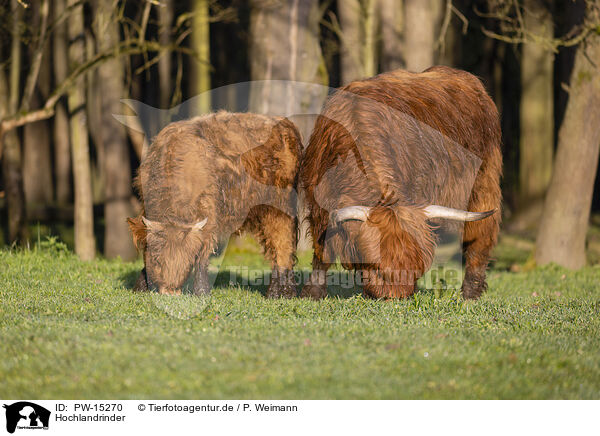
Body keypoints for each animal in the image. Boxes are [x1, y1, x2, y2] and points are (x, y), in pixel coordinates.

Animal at [129, 110, 302, 298]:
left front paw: (201, 292)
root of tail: (283, 122)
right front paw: (140, 287)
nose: (170, 293)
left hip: (280, 206)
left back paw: (280, 293)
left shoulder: (208, 215)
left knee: (282, 244)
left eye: (187, 261)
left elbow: (203, 257)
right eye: (156, 260)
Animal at [300, 66, 502, 300]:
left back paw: (470, 291)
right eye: (378, 268)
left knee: (480, 235)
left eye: (416, 269)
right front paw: (313, 291)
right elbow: (321, 248)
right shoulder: (318, 199)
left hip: (484, 180)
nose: (398, 296)